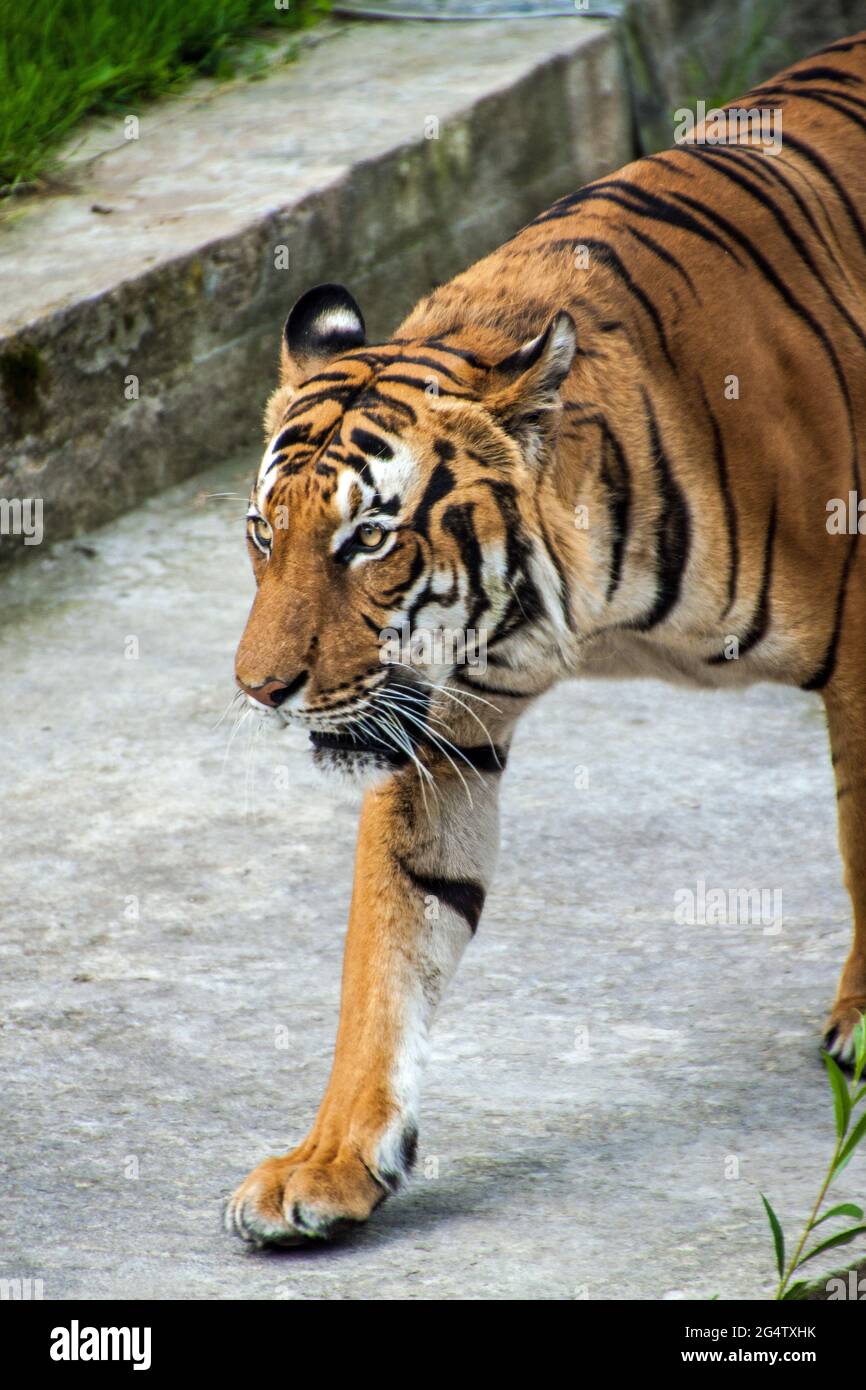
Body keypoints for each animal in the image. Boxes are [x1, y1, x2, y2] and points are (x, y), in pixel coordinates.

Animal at [226, 32, 866, 1251]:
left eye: (368, 538)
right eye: (263, 533)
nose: (259, 689)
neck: (577, 607)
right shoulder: (440, 718)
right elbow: (392, 939)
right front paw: (329, 1162)